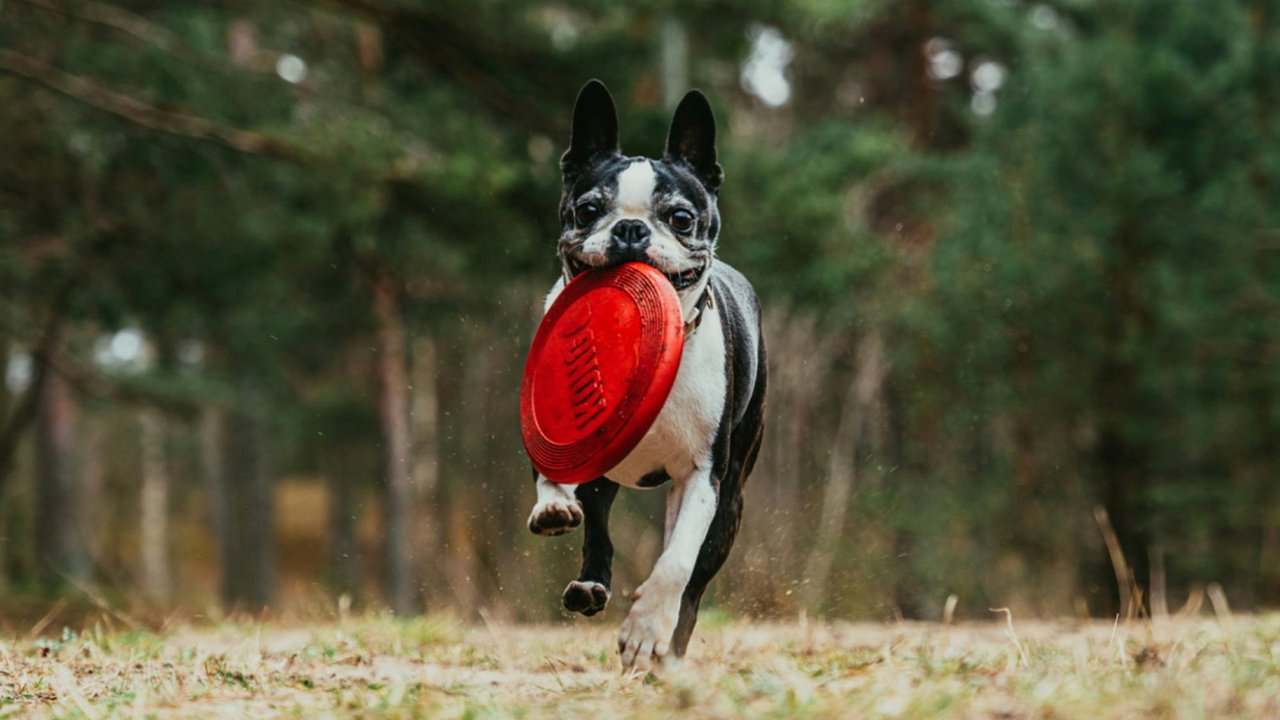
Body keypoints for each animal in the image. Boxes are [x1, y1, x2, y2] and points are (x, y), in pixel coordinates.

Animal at [529, 79, 768, 666]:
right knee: (598, 530)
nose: (631, 228)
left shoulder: (704, 476)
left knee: (696, 581)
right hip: (605, 475)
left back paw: (670, 650)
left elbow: (676, 561)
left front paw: (645, 630)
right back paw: (589, 585)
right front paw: (552, 504)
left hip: (732, 501)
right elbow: (549, 469)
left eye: (680, 218)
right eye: (589, 209)